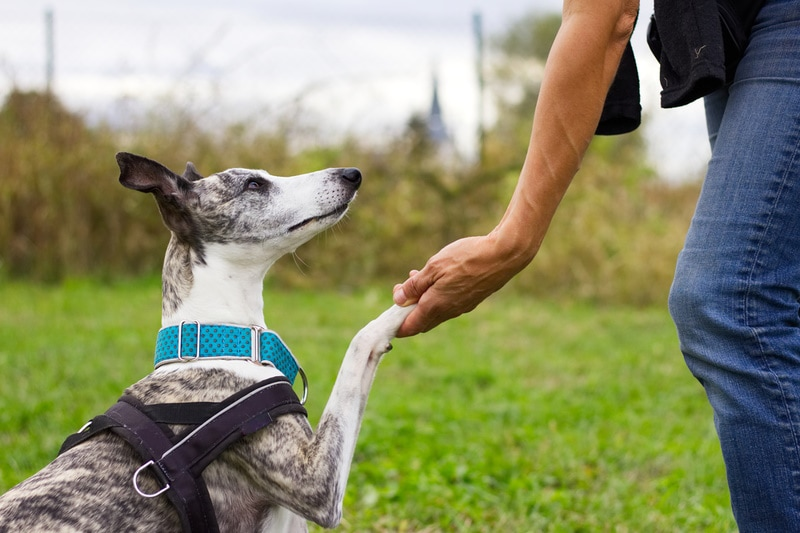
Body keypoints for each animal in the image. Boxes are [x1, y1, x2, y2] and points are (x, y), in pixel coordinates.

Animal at [0, 152, 412, 528]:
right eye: (253, 185)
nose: (352, 174)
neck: (214, 341)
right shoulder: (315, 483)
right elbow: (359, 343)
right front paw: (410, 298)